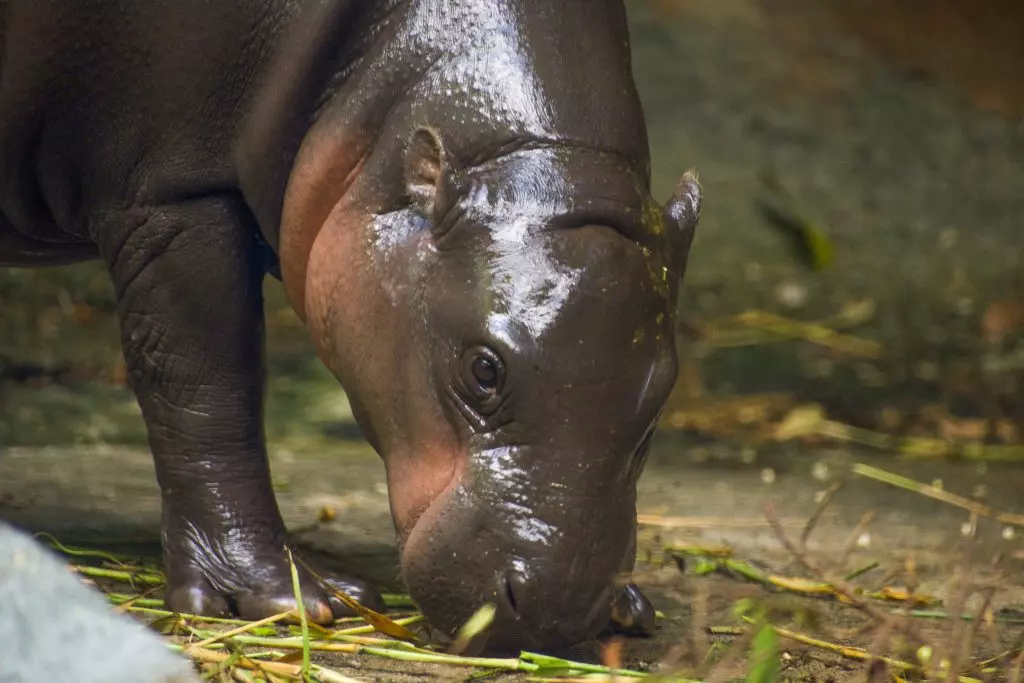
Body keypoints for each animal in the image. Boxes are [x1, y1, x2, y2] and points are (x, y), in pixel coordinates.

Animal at [0, 0, 700, 651]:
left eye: (662, 393)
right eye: (483, 370)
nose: (558, 609)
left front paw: (628, 607)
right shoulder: (173, 196)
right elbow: (205, 388)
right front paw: (286, 596)